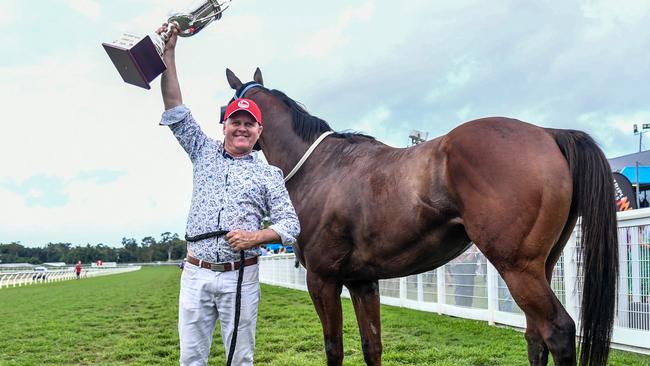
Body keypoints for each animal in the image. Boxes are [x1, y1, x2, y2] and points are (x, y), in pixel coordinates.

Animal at [225, 69, 616, 366]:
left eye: (226, 107)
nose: (229, 143)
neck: (321, 167)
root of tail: (548, 134)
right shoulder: (362, 281)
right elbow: (372, 346)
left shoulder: (323, 280)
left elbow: (334, 349)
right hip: (541, 265)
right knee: (536, 335)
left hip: (517, 267)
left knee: (558, 330)